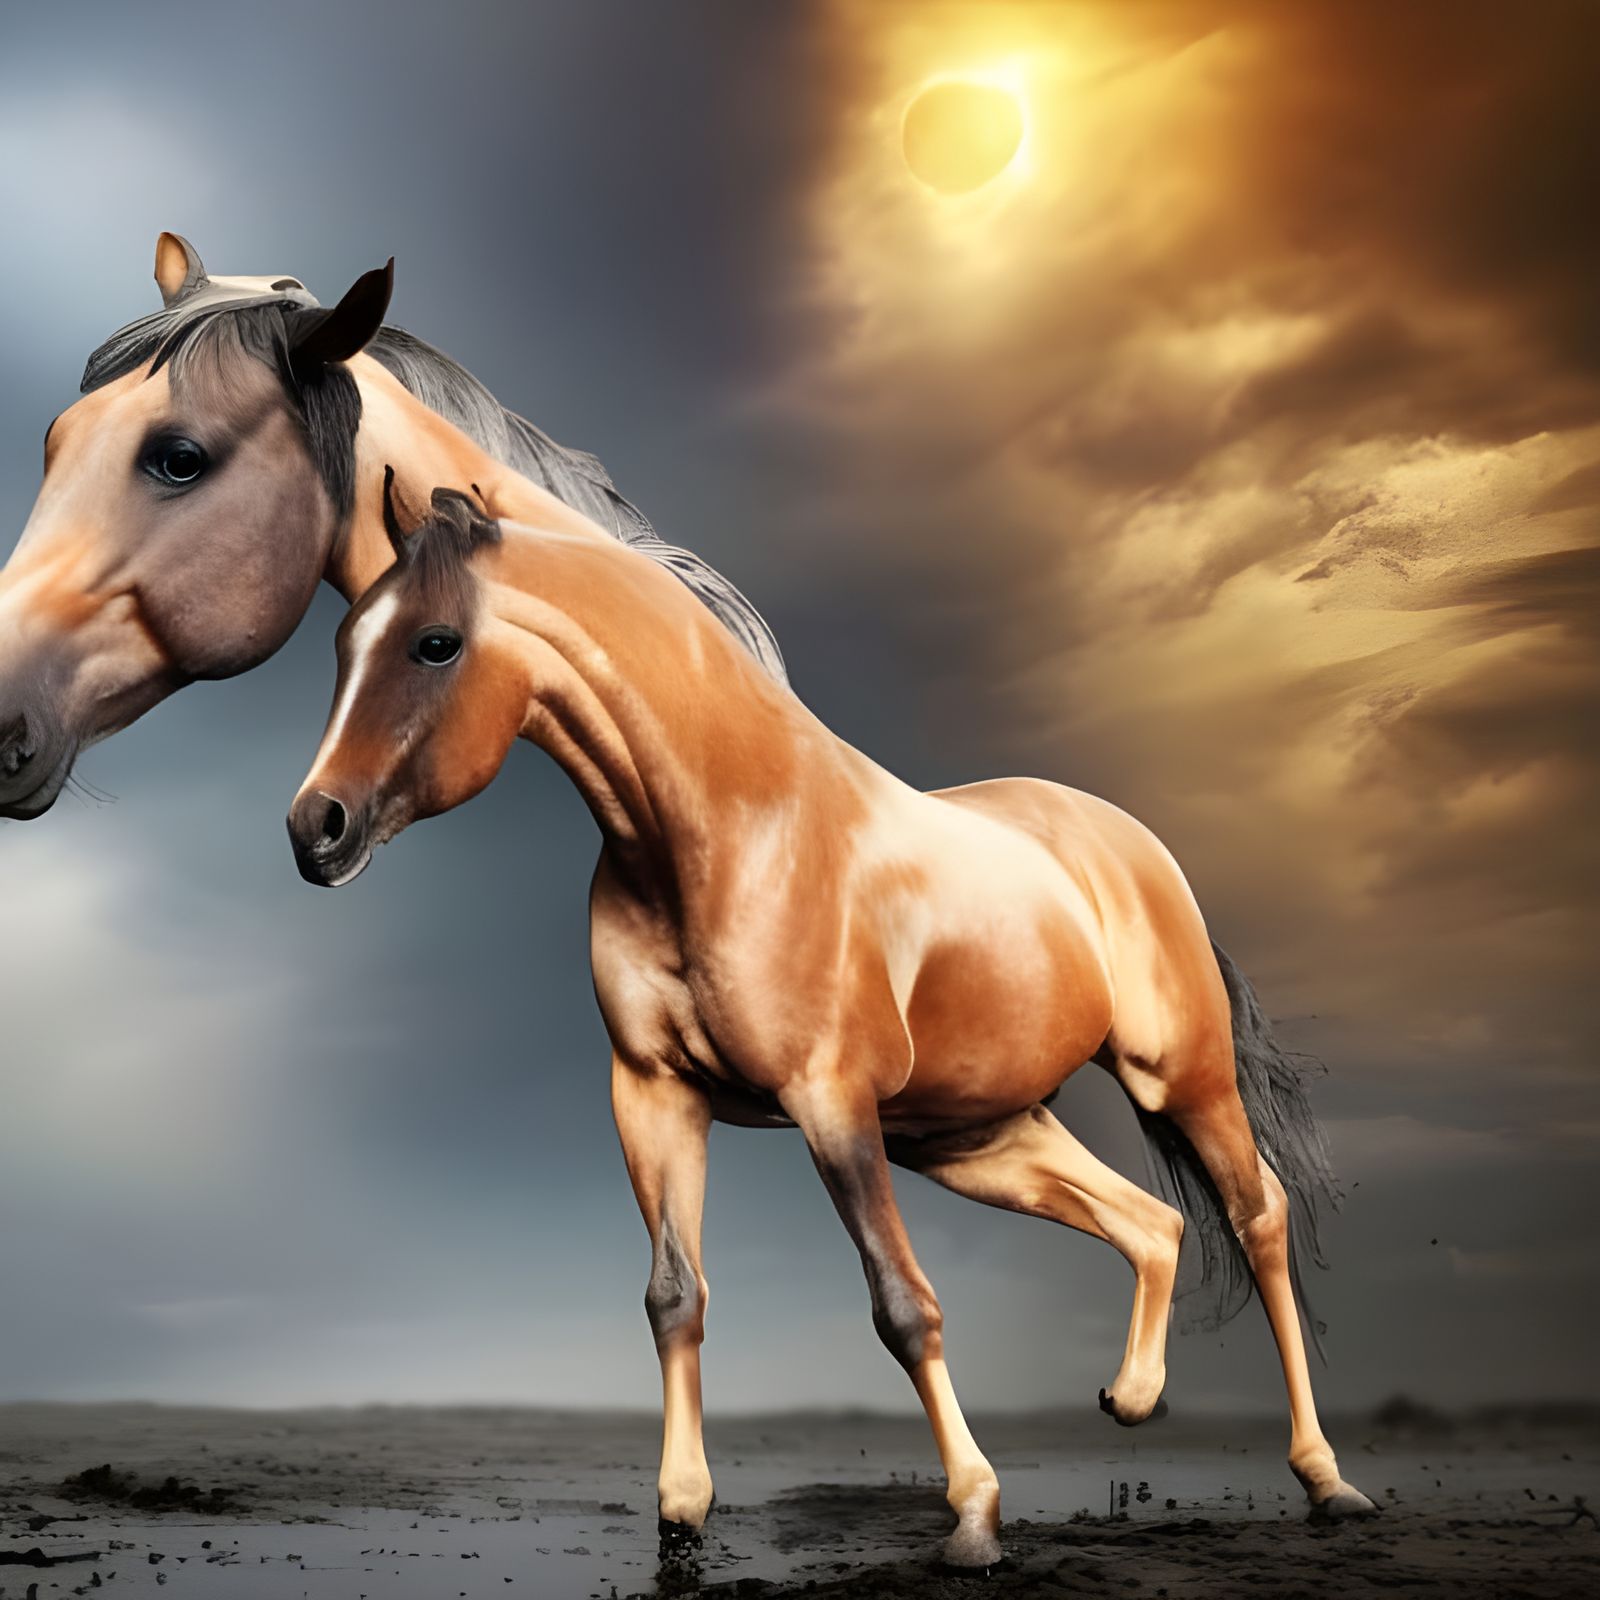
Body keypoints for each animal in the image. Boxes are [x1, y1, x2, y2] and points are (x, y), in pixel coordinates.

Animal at [286, 477, 1377, 1567]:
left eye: (435, 643)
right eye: (343, 637)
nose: (314, 828)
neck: (723, 831)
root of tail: (1137, 846)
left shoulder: (828, 1099)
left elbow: (903, 1305)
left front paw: (974, 1515)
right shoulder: (654, 1096)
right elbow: (674, 1294)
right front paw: (680, 1511)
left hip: (1179, 1078)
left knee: (1256, 1215)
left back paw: (1327, 1479)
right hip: (972, 1139)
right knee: (1152, 1222)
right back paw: (1132, 1397)